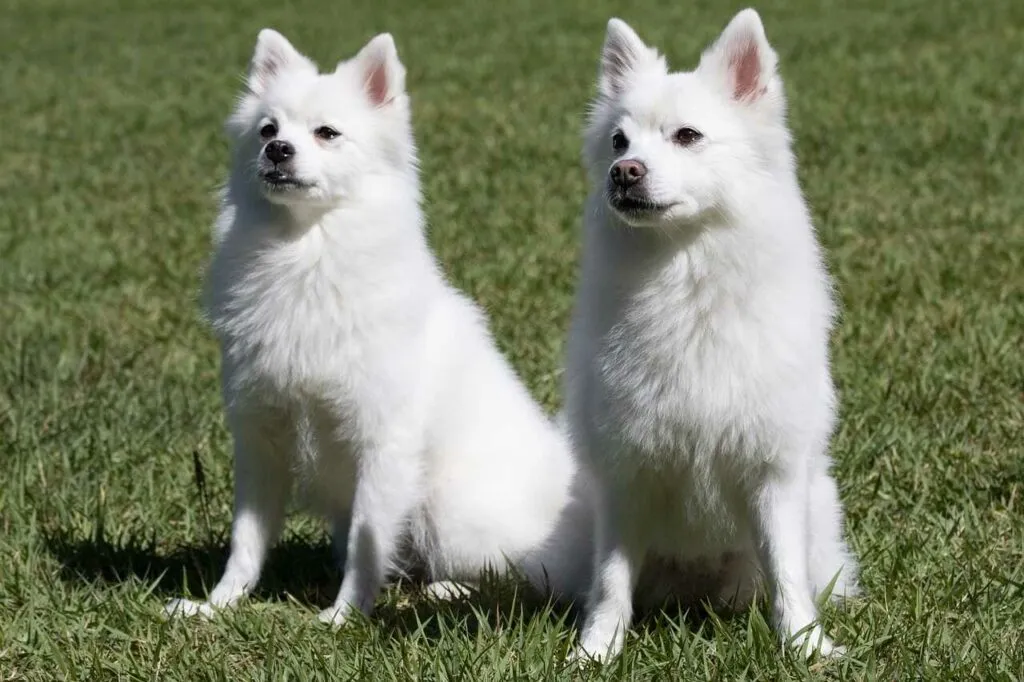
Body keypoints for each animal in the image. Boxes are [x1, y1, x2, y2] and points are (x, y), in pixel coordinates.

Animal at [164, 29, 593, 622]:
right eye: (268, 129)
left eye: (326, 133)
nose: (278, 150)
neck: (304, 255)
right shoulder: (261, 436)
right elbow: (247, 541)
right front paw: (218, 605)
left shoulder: (382, 442)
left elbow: (366, 547)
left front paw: (343, 617)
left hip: (448, 508)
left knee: (525, 576)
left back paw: (446, 591)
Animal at [565, 9, 860, 659]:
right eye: (620, 141)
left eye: (687, 136)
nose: (624, 173)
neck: (685, 283)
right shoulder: (626, 473)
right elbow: (611, 578)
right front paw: (598, 649)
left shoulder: (772, 469)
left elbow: (786, 572)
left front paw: (804, 645)